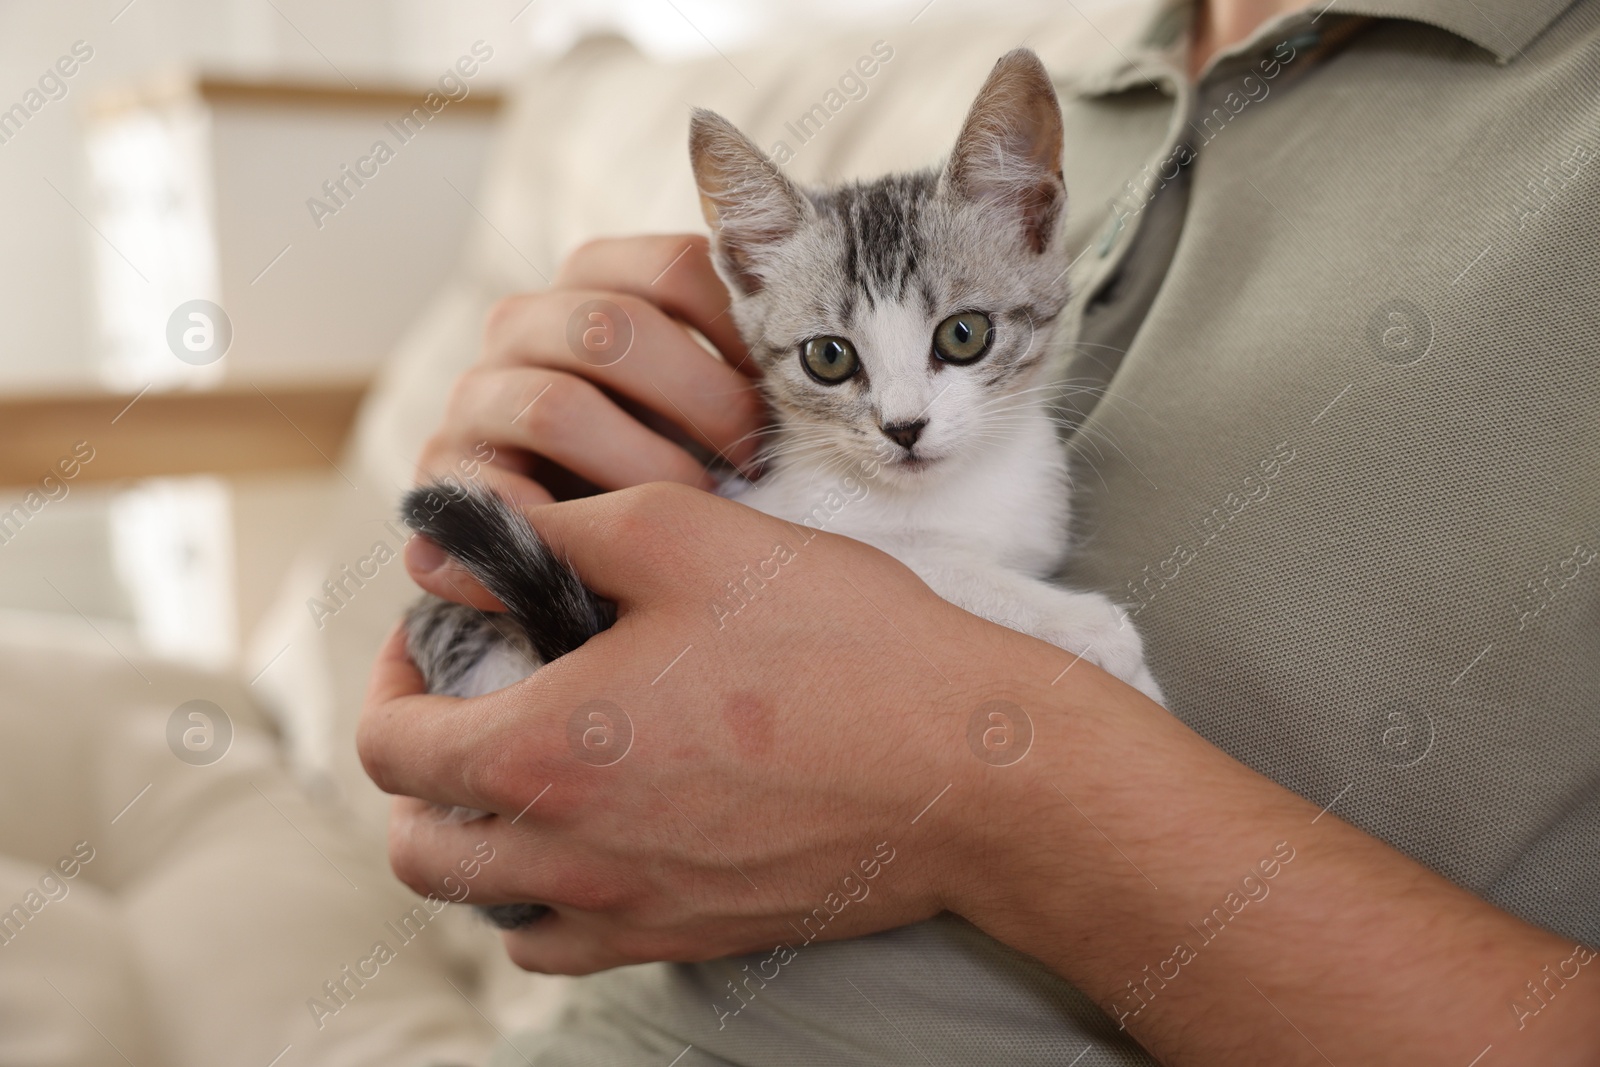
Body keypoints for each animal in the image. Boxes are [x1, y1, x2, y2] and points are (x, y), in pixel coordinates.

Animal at [396, 49, 1164, 934]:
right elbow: (929, 564)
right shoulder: (775, 511)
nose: (904, 427)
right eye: (828, 357)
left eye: (964, 335)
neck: (949, 491)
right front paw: (1099, 638)